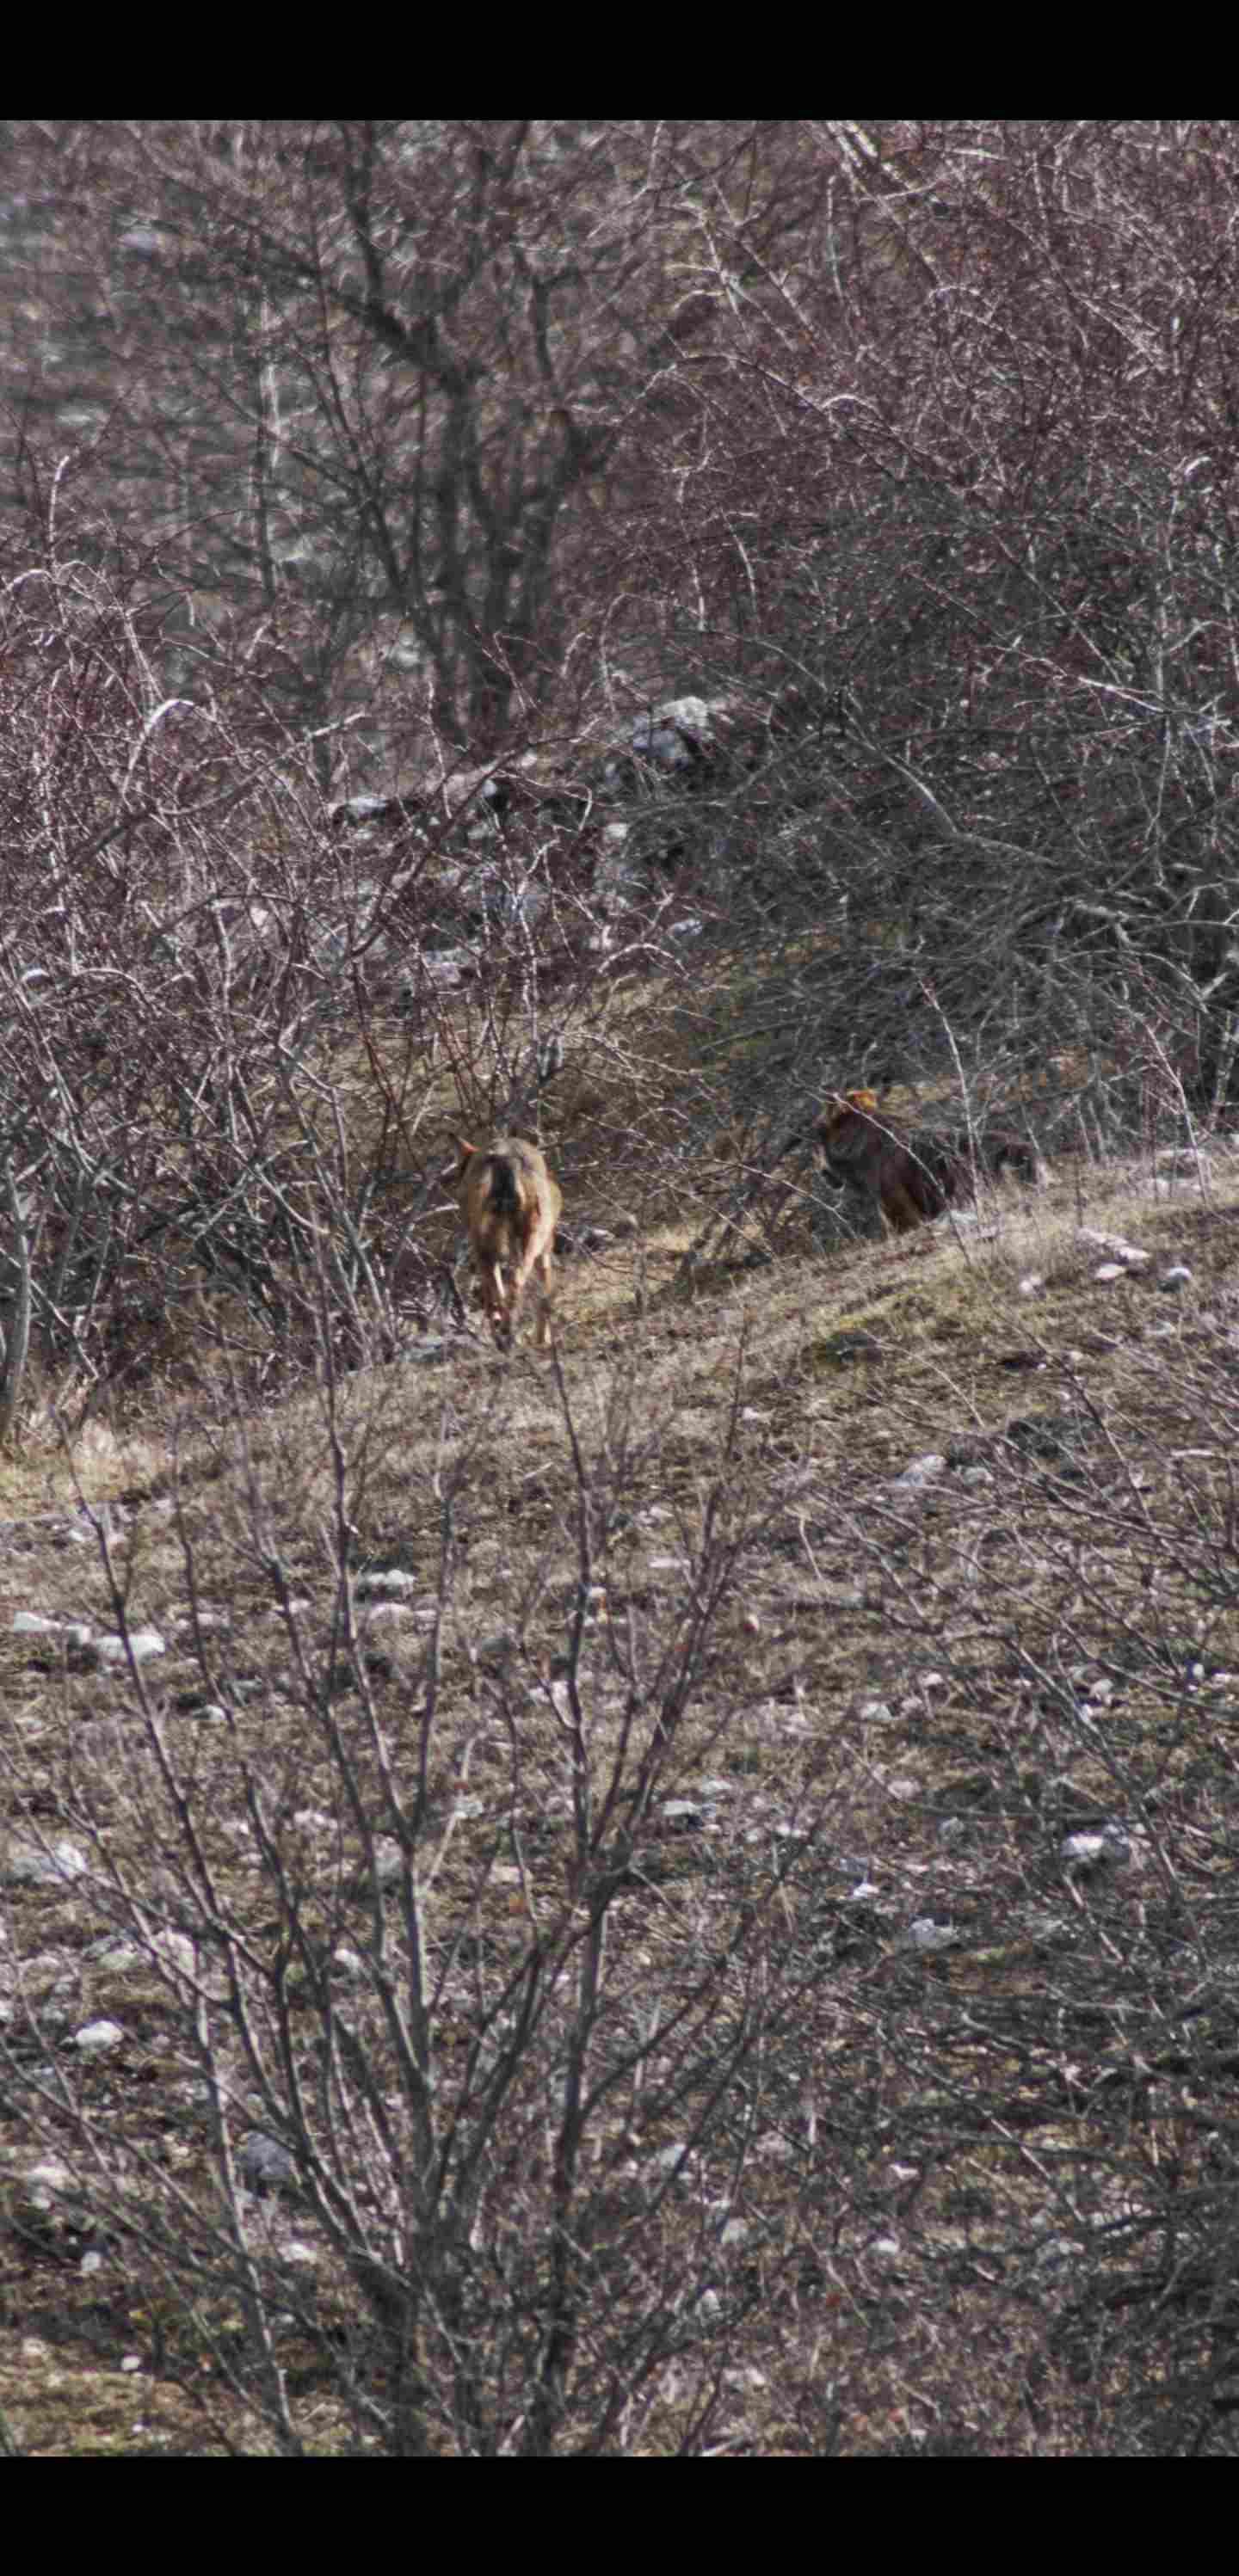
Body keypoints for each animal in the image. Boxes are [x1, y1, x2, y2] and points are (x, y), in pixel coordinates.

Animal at [442, 1143, 561, 1360]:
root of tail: (505, 1160)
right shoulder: (545, 1249)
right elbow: (544, 1295)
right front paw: (541, 1338)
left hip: (484, 1246)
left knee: (499, 1289)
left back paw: (503, 1333)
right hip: (524, 1243)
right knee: (514, 1283)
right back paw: (507, 1332)